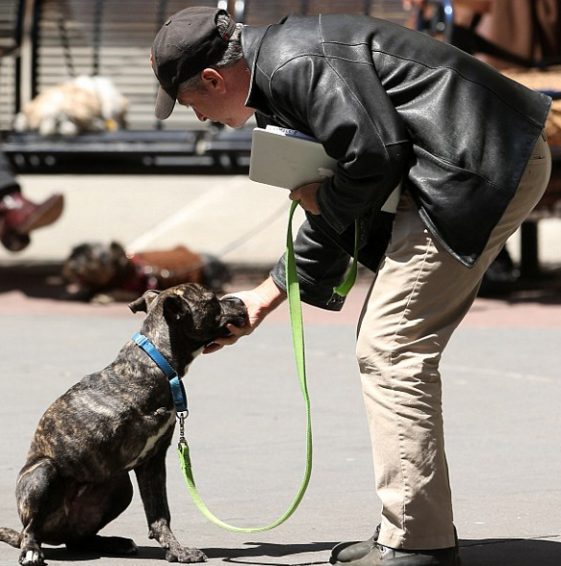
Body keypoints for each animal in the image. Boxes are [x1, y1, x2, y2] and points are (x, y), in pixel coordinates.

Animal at [0, 286, 247, 564]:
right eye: (212, 301)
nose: (239, 300)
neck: (158, 363)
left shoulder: (153, 461)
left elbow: (160, 513)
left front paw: (177, 550)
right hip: (44, 472)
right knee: (31, 527)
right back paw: (31, 549)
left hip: (120, 487)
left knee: (78, 539)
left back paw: (113, 543)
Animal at [60, 242, 229, 304]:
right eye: (73, 255)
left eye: (90, 258)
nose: (73, 266)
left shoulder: (135, 291)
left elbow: (115, 291)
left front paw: (103, 295)